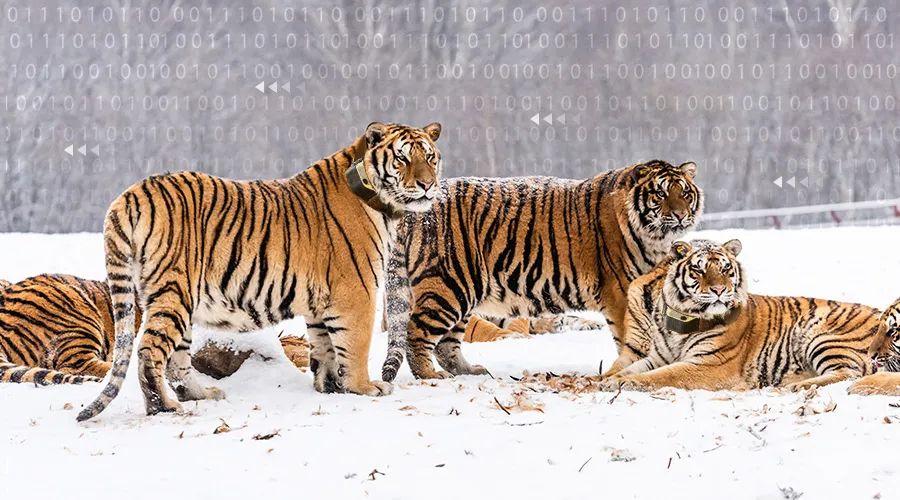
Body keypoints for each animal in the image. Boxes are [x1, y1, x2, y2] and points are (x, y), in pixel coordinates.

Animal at [78, 121, 443, 421]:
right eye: (403, 159)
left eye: (430, 157)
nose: (428, 185)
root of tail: (131, 194)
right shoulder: (357, 291)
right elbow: (355, 344)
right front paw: (364, 387)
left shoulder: (320, 302)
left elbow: (324, 345)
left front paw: (330, 387)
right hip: (174, 292)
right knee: (150, 351)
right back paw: (164, 407)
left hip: (176, 302)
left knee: (177, 361)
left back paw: (202, 395)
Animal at [381, 159, 703, 382]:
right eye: (660, 194)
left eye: (685, 194)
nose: (680, 215)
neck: (654, 237)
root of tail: (415, 212)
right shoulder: (621, 293)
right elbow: (632, 338)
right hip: (448, 285)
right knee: (416, 333)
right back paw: (430, 376)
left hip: (462, 291)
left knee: (446, 345)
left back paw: (469, 371)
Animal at [601, 239, 881, 392]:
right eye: (699, 270)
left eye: (726, 269)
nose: (719, 290)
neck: (682, 318)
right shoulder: (657, 357)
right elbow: (628, 369)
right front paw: (608, 380)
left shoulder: (709, 364)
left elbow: (662, 375)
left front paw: (623, 384)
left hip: (822, 337)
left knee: (850, 373)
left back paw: (795, 386)